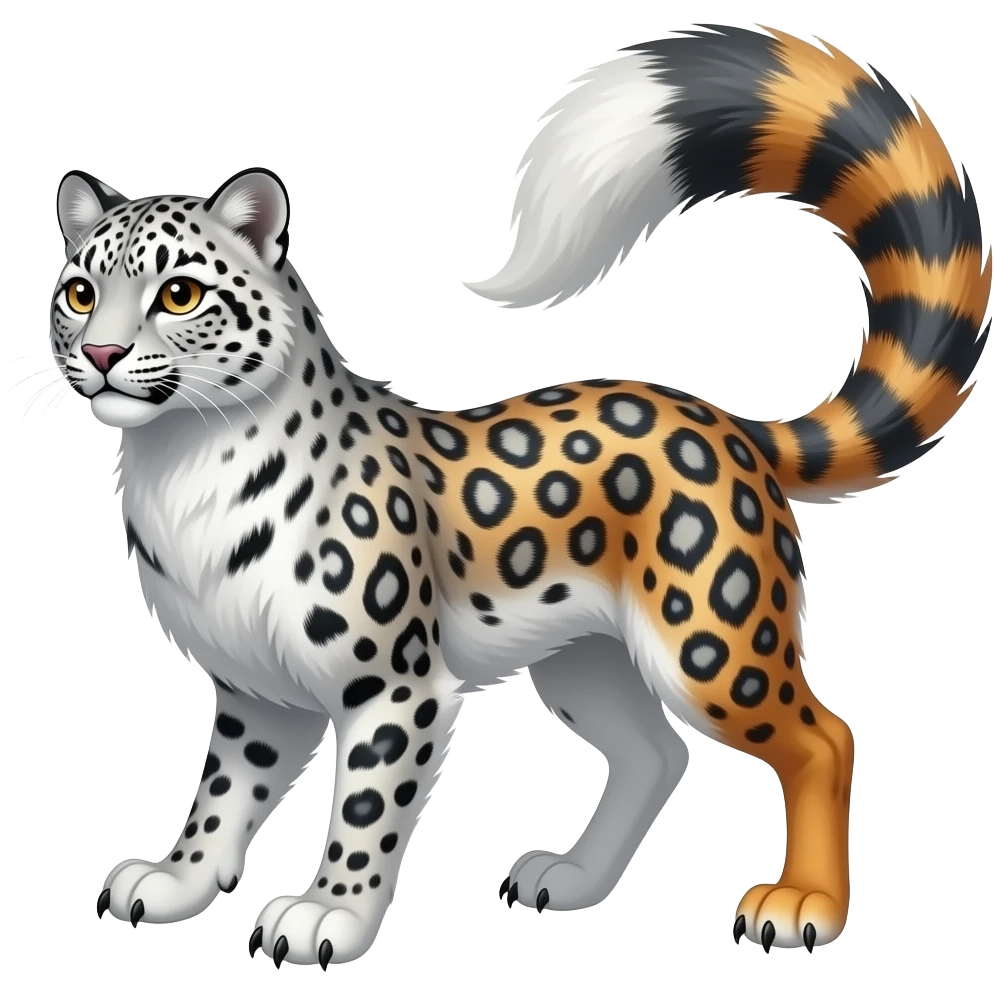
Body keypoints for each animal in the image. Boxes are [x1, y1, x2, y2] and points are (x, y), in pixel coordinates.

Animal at [44, 22, 988, 970]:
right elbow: (223, 794)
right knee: (654, 753)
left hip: (710, 645)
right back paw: (573, 878)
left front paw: (328, 914)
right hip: (585, 659)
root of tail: (725, 420)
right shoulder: (255, 690)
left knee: (823, 739)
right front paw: (178, 879)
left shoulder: (393, 687)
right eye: (79, 291)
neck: (185, 467)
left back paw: (803, 904)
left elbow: (364, 809)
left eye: (179, 292)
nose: (99, 354)